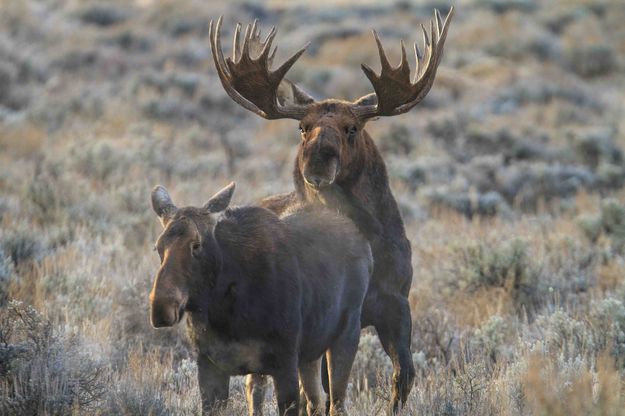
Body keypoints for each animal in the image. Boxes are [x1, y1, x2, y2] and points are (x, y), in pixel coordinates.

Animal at [149, 184, 372, 414]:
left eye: (196, 245)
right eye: (158, 247)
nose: (162, 308)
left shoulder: (285, 363)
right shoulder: (209, 365)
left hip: (347, 333)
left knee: (336, 403)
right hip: (310, 352)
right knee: (314, 400)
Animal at [210, 6, 454, 412]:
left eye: (352, 127)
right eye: (303, 127)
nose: (316, 161)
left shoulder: (397, 303)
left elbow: (403, 376)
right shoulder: (336, 317)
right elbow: (328, 394)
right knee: (255, 384)